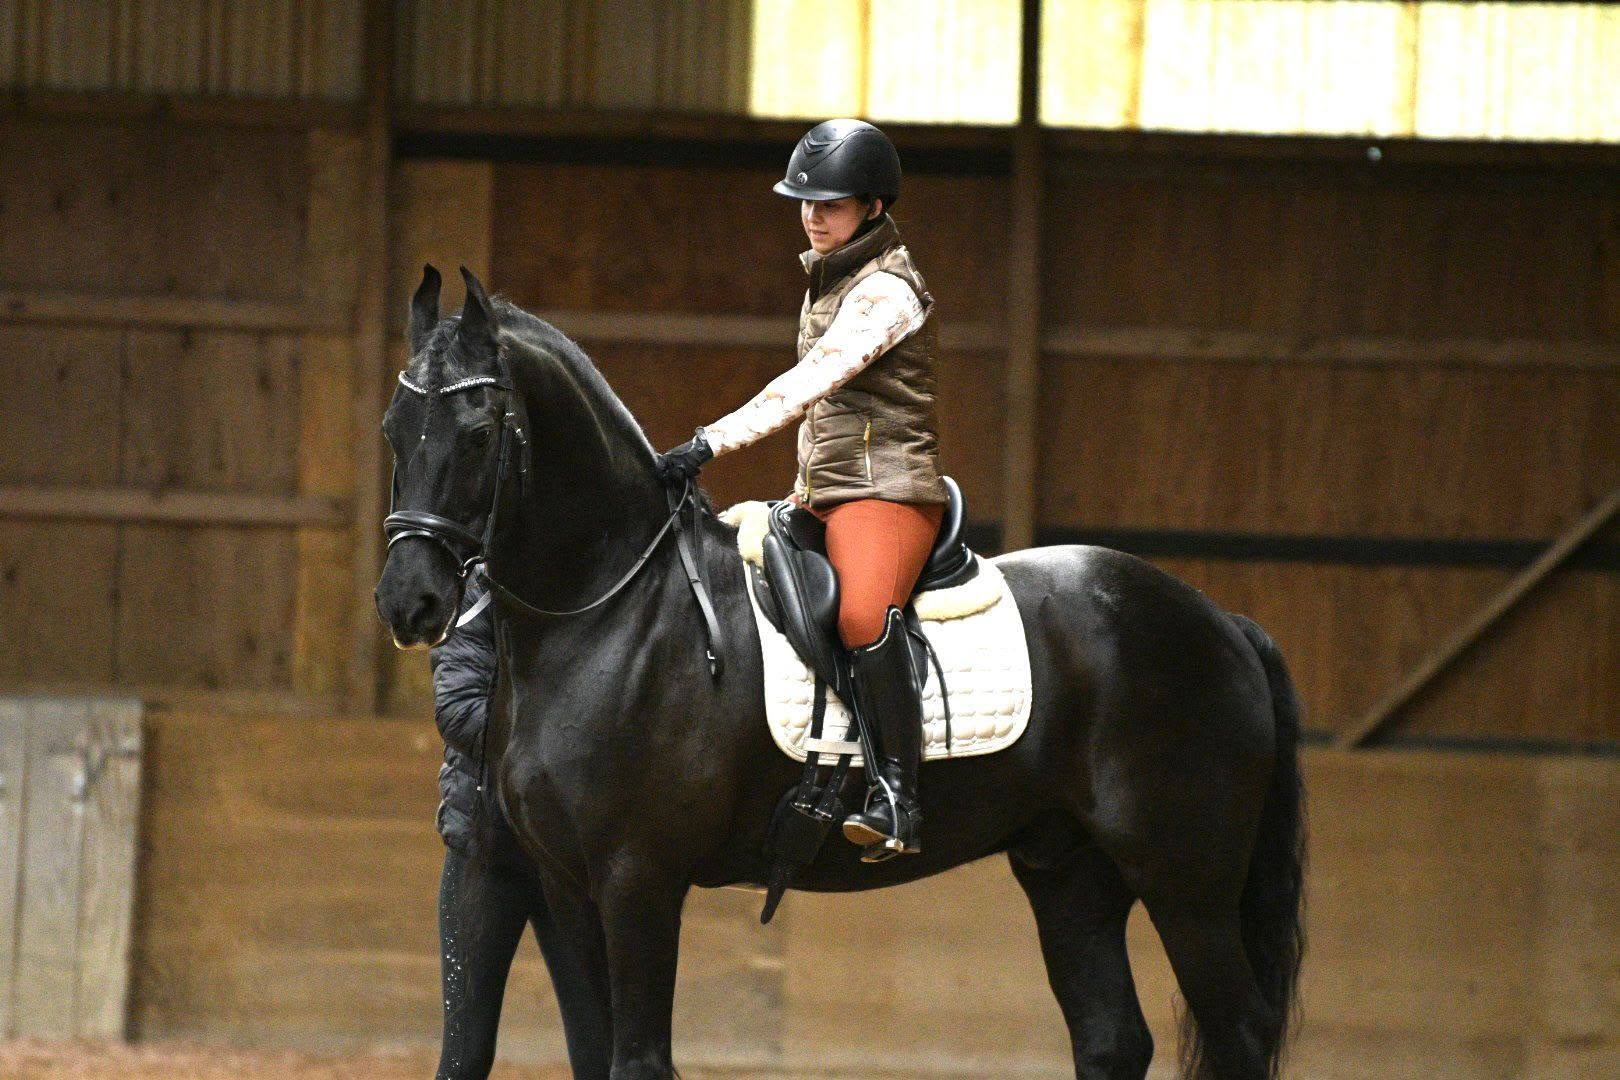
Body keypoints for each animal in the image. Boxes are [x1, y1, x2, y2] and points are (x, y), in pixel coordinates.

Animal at [374, 266, 1305, 1080]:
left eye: (478, 434)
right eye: (392, 429)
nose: (408, 601)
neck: (612, 612)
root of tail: (1219, 620)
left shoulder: (638, 880)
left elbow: (636, 1061)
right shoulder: (569, 887)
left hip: (1187, 885)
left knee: (1238, 1031)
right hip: (1070, 871)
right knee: (1112, 1038)